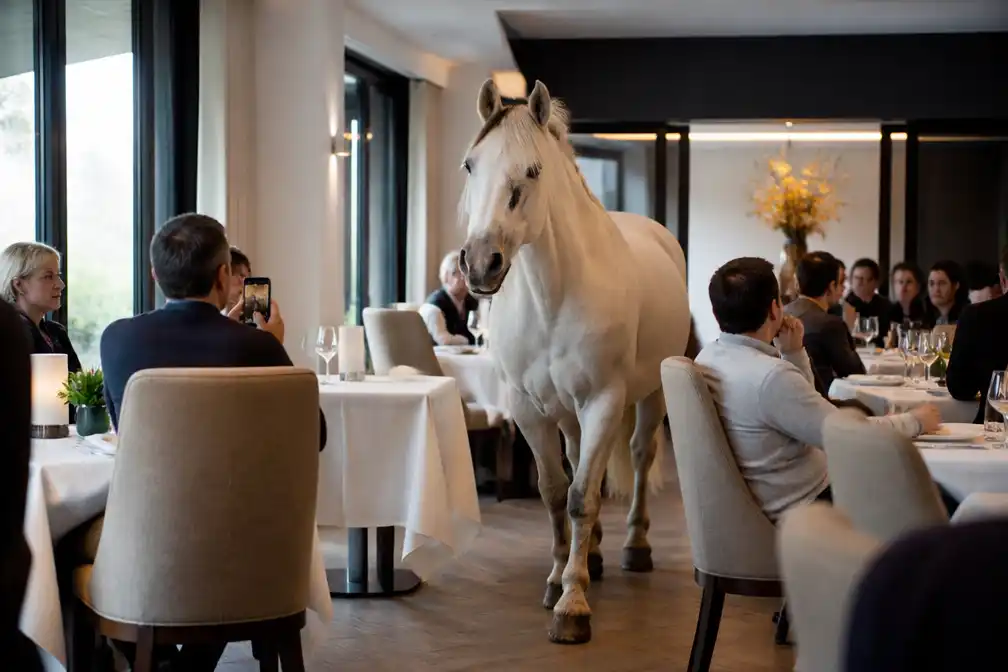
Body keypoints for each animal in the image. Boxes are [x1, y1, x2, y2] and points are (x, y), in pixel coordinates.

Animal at [457, 78, 691, 644]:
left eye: (533, 171)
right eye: (471, 165)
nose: (480, 263)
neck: (552, 297)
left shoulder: (604, 400)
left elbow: (583, 494)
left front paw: (573, 605)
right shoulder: (528, 410)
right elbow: (553, 490)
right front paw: (558, 576)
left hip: (648, 397)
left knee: (638, 456)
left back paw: (633, 548)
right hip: (567, 413)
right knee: (585, 458)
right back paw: (596, 555)